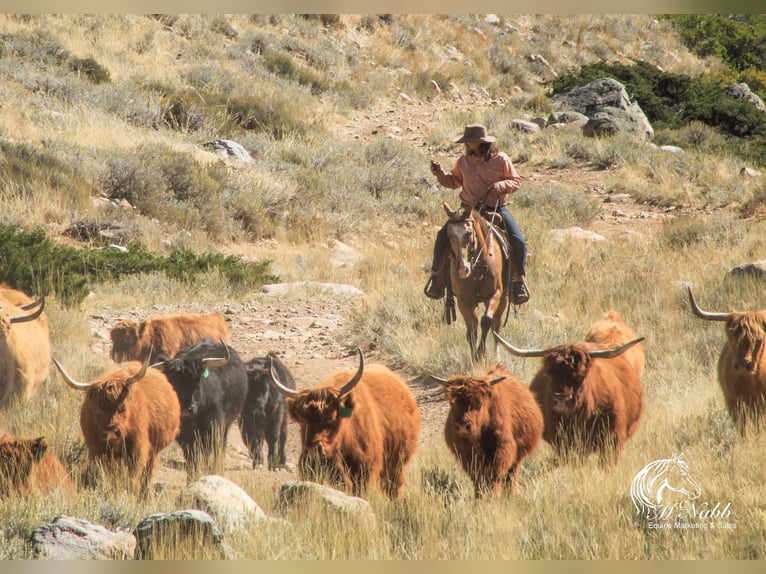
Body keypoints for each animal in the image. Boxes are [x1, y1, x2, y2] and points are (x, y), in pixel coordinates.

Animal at [270, 348, 424, 502]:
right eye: (304, 421)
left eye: (333, 418)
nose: (314, 449)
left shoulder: (364, 472)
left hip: (398, 464)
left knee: (395, 488)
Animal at [438, 366, 544, 498]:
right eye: (452, 403)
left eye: (479, 402)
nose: (462, 426)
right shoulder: (466, 453)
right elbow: (477, 476)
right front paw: (479, 495)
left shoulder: (502, 448)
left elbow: (495, 474)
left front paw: (494, 495)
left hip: (519, 455)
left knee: (512, 474)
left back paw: (511, 494)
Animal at [444, 204, 510, 360]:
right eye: (449, 235)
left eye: (469, 233)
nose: (463, 269)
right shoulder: (464, 299)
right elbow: (472, 329)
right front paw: (475, 357)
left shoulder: (494, 293)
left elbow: (486, 321)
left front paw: (481, 353)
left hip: (504, 298)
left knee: (496, 324)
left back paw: (497, 355)